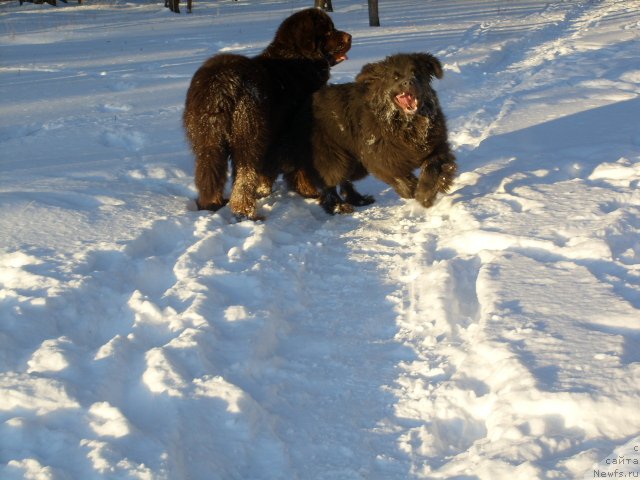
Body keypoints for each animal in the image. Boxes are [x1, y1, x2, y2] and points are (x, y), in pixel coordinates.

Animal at [278, 52, 456, 214]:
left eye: (416, 73)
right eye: (395, 77)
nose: (409, 82)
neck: (406, 124)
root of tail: (300, 111)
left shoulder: (435, 146)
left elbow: (431, 169)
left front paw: (425, 195)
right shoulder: (379, 157)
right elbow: (397, 177)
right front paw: (411, 190)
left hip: (353, 161)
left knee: (345, 180)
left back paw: (358, 199)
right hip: (332, 157)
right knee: (329, 183)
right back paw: (338, 207)